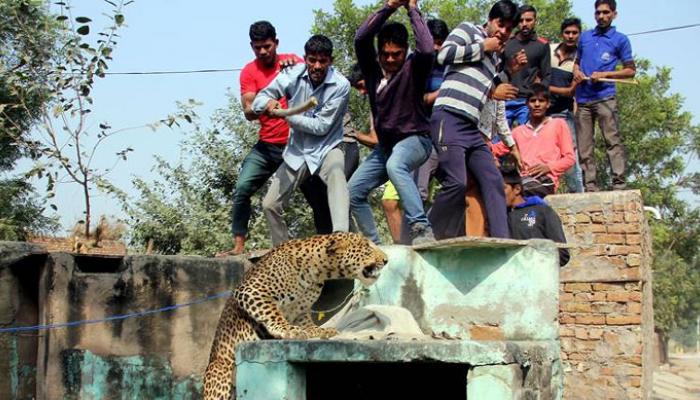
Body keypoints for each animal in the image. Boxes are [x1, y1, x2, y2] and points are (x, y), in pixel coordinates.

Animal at [202, 231, 388, 400]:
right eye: (367, 246)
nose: (386, 260)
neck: (318, 271)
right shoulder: (251, 290)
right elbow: (271, 312)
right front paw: (288, 330)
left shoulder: (301, 308)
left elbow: (306, 322)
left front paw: (320, 331)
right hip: (220, 373)